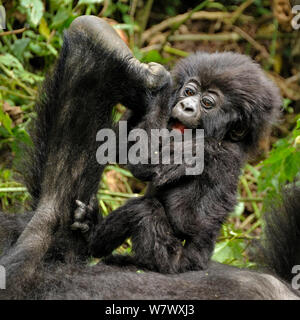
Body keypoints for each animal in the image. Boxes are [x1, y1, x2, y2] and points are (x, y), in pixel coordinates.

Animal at [72, 51, 282, 274]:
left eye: (207, 103)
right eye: (189, 91)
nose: (186, 106)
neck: (225, 138)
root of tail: (199, 263)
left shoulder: (205, 149)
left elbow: (147, 164)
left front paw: (163, 84)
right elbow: (115, 149)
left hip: (171, 262)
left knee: (144, 210)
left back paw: (92, 234)